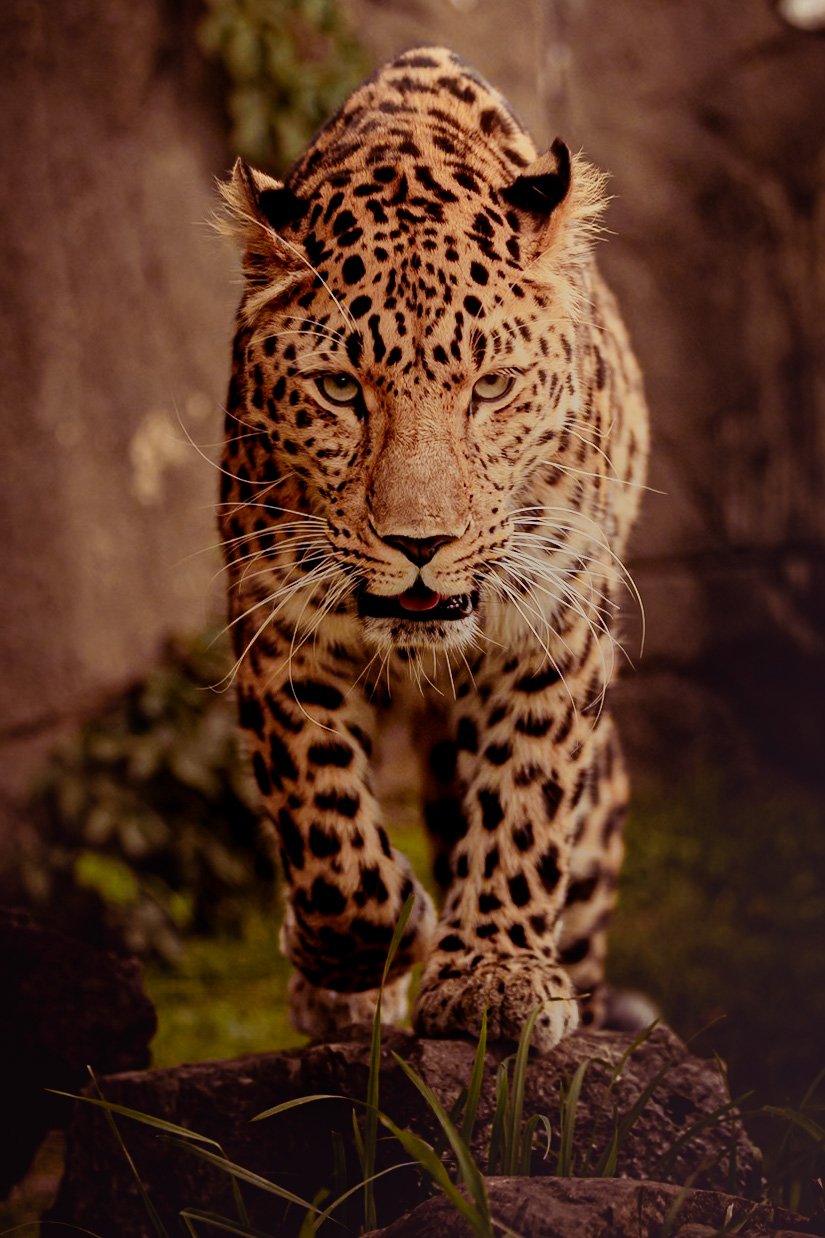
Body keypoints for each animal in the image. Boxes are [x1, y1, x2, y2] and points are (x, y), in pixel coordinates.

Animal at [217, 46, 649, 1055]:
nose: (421, 542)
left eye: (490, 386)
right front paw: (366, 947)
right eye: (340, 388)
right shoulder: (278, 620)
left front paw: (494, 972)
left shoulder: (553, 623)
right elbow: (323, 822)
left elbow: (526, 796)